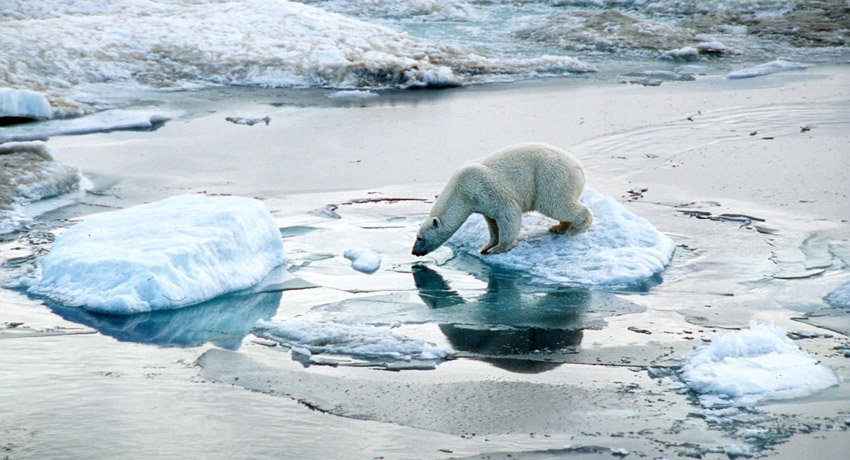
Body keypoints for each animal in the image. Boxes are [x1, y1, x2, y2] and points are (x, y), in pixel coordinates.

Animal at [410, 142, 588, 256]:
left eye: (420, 237)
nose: (414, 252)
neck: (462, 190)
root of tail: (579, 166)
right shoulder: (482, 203)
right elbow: (492, 223)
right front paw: (487, 246)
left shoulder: (486, 188)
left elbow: (508, 214)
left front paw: (499, 248)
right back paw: (559, 227)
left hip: (551, 177)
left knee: (555, 203)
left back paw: (575, 229)